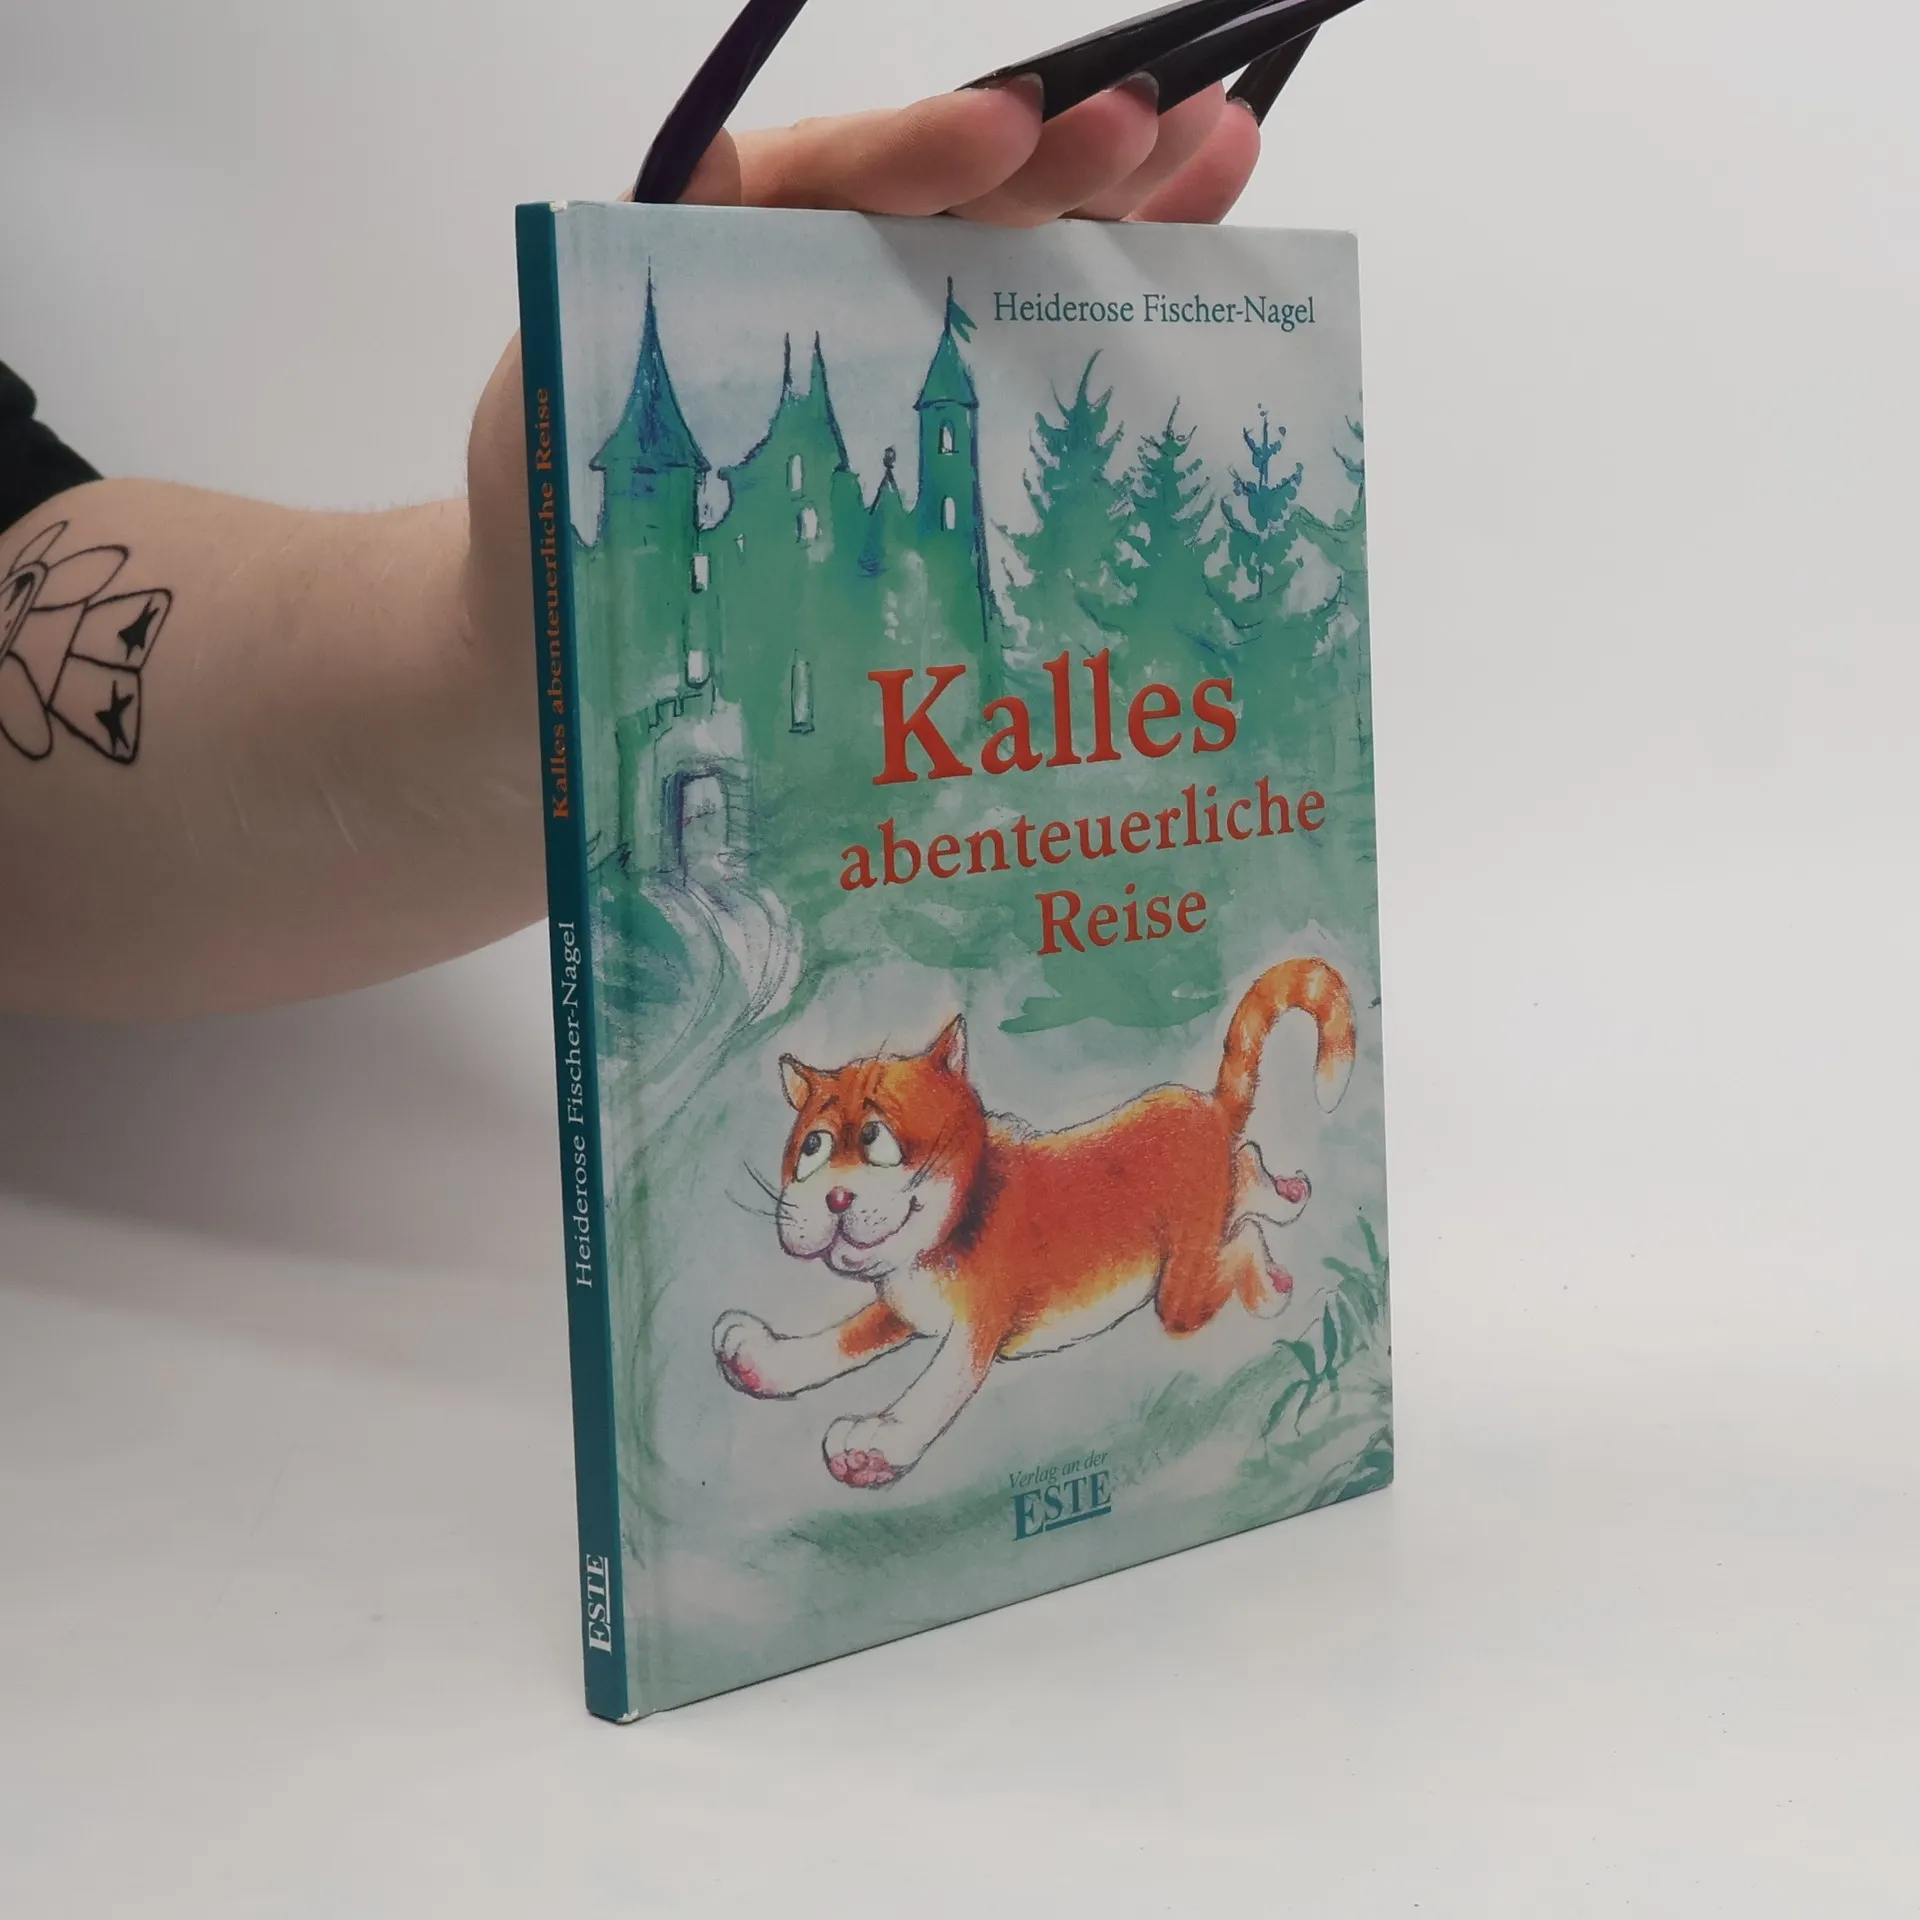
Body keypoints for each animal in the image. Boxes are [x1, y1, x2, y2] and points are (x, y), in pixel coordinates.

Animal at [713, 957, 1356, 1490]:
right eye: (814, 1147)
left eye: (876, 1139)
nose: (835, 1199)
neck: (940, 1237)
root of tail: (1207, 1105)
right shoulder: (904, 1304)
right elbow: (842, 1337)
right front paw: (762, 1360)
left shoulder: (976, 1326)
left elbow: (935, 1388)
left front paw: (876, 1444)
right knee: (1245, 1166)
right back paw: (1288, 1194)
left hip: (1180, 1289)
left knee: (1235, 1240)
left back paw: (1272, 1285)